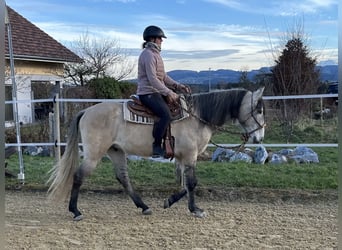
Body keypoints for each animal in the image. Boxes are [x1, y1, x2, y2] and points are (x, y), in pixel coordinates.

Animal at [46, 87, 266, 220]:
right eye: (259, 110)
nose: (259, 138)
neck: (198, 117)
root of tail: (87, 111)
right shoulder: (190, 156)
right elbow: (192, 183)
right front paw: (195, 209)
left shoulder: (183, 158)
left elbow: (185, 184)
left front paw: (169, 201)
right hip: (94, 154)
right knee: (78, 176)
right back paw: (75, 211)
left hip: (116, 151)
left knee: (123, 178)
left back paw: (143, 206)